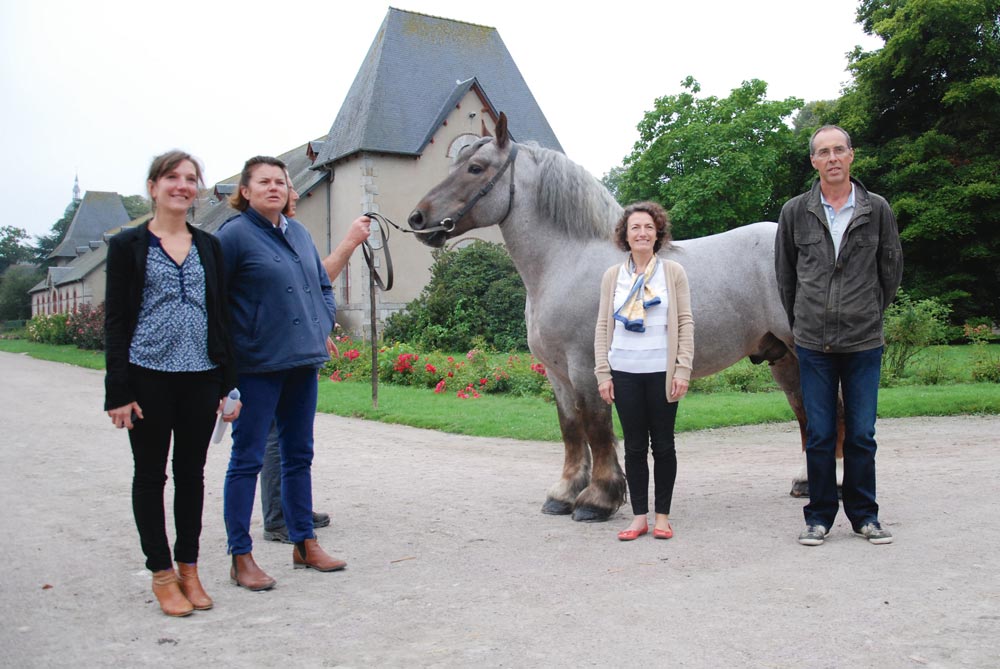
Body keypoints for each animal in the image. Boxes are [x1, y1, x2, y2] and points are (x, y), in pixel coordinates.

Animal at [410, 113, 816, 520]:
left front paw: (597, 499)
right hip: (782, 357)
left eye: (476, 168)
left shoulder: (587, 367)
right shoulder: (557, 373)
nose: (418, 218)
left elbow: (597, 427)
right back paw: (806, 482)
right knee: (804, 411)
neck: (566, 262)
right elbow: (571, 429)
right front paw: (563, 494)